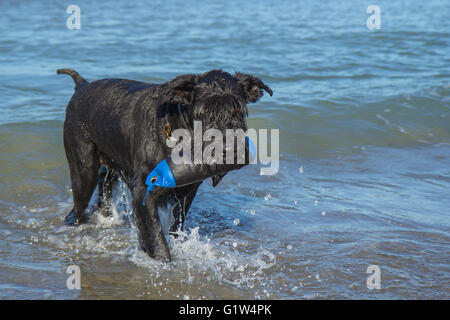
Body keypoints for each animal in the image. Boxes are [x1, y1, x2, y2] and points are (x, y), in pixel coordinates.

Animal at [58, 69, 272, 262]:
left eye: (238, 109)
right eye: (204, 112)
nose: (230, 149)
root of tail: (82, 86)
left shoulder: (187, 192)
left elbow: (176, 227)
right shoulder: (143, 191)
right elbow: (156, 237)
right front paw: (163, 262)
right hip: (84, 172)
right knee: (78, 208)